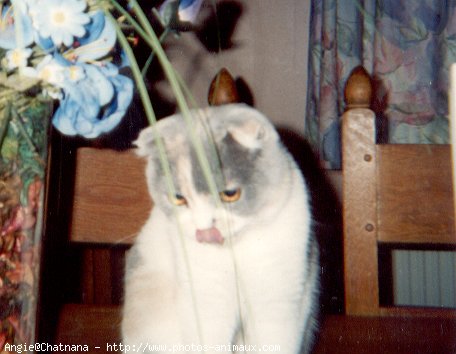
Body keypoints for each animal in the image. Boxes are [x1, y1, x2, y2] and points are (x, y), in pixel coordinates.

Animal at [122, 103, 320, 352]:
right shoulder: (205, 302)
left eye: (230, 193)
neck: (234, 252)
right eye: (178, 198)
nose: (204, 229)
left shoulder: (277, 302)